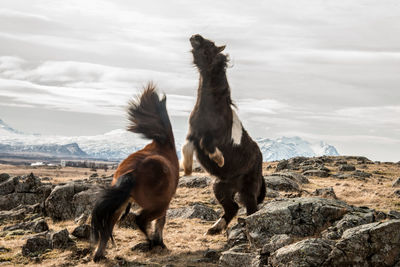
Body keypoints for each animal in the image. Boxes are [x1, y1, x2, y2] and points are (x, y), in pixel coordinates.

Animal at [91, 84, 179, 262]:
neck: (163, 144)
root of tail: (132, 173)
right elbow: (161, 222)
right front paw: (160, 242)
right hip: (159, 204)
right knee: (140, 220)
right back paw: (151, 242)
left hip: (119, 207)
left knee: (106, 229)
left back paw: (99, 255)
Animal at [182, 34, 266, 236]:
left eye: (210, 46)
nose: (194, 36)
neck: (212, 109)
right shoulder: (192, 136)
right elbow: (186, 147)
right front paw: (186, 168)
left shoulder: (215, 138)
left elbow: (208, 144)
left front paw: (219, 159)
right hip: (219, 187)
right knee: (232, 208)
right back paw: (214, 228)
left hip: (248, 189)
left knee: (250, 209)